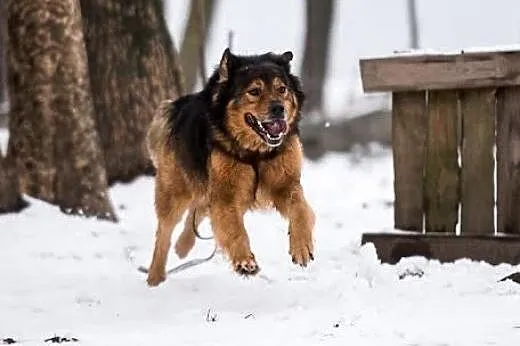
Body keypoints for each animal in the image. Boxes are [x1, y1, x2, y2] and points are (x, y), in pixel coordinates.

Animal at [146, 48, 316, 286]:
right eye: (254, 91)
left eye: (282, 89)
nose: (278, 109)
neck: (255, 152)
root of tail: (178, 107)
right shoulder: (226, 194)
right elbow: (234, 229)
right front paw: (244, 261)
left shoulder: (286, 184)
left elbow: (301, 209)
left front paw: (301, 246)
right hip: (175, 189)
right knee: (164, 230)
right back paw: (155, 276)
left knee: (198, 211)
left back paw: (183, 247)